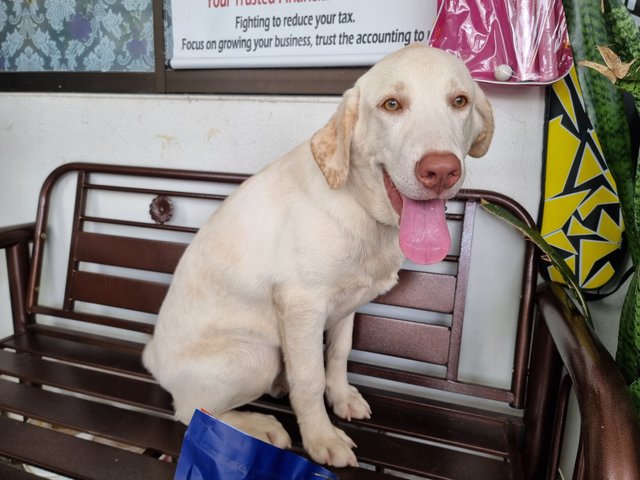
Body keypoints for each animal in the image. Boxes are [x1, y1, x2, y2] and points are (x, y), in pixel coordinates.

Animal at [144, 43, 496, 466]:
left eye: (459, 101)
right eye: (392, 104)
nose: (441, 170)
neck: (363, 210)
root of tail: (152, 357)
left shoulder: (347, 305)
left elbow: (339, 354)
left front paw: (341, 397)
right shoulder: (301, 305)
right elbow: (310, 379)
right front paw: (320, 437)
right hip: (255, 356)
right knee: (190, 410)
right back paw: (258, 424)